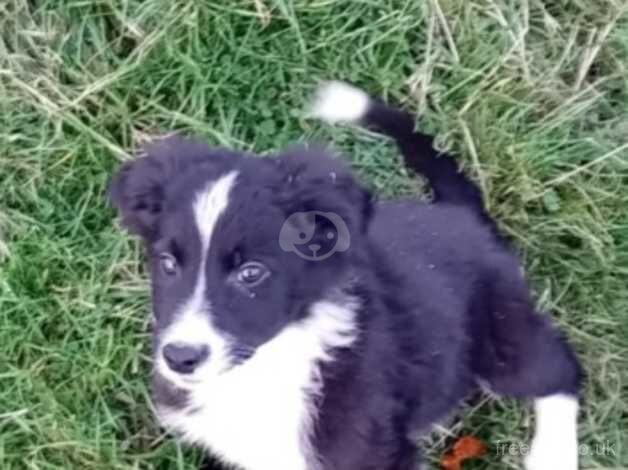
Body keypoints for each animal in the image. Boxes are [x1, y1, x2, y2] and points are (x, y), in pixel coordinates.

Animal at [106, 81, 580, 470]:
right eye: (168, 264)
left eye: (251, 273)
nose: (179, 358)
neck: (265, 368)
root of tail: (457, 213)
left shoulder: (374, 452)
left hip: (499, 332)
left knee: (560, 370)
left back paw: (551, 456)